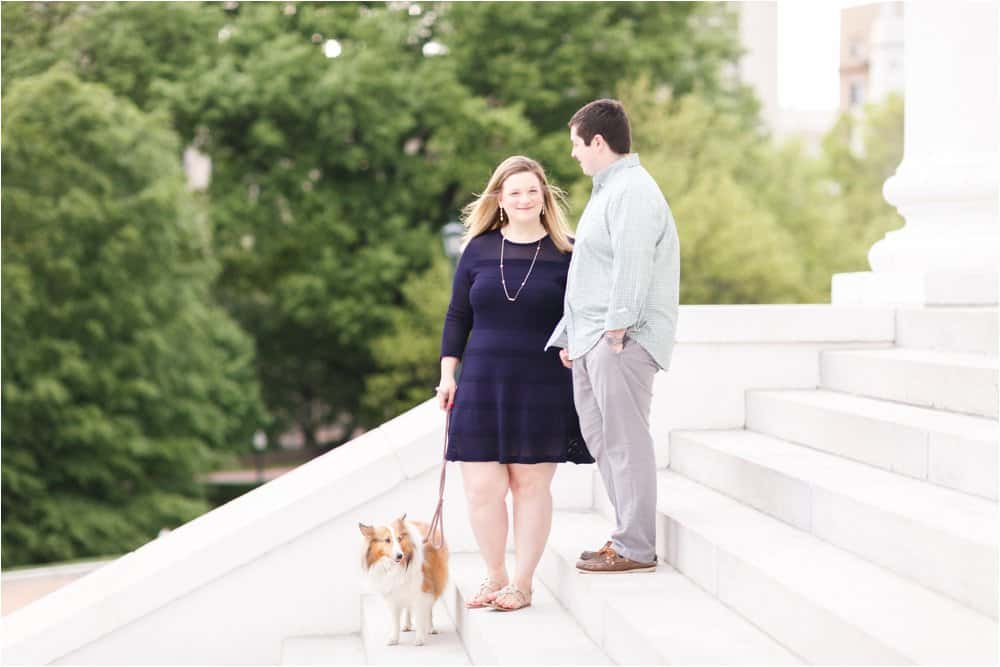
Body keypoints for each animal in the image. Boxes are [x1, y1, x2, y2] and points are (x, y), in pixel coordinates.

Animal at [360, 516, 450, 644]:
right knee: (408, 608)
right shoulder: (393, 595)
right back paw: (407, 625)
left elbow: (420, 616)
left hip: (433, 582)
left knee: (429, 609)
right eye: (387, 540)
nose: (400, 556)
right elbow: (395, 620)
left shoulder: (421, 592)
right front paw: (394, 638)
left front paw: (419, 639)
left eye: (399, 538)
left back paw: (430, 628)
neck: (397, 567)